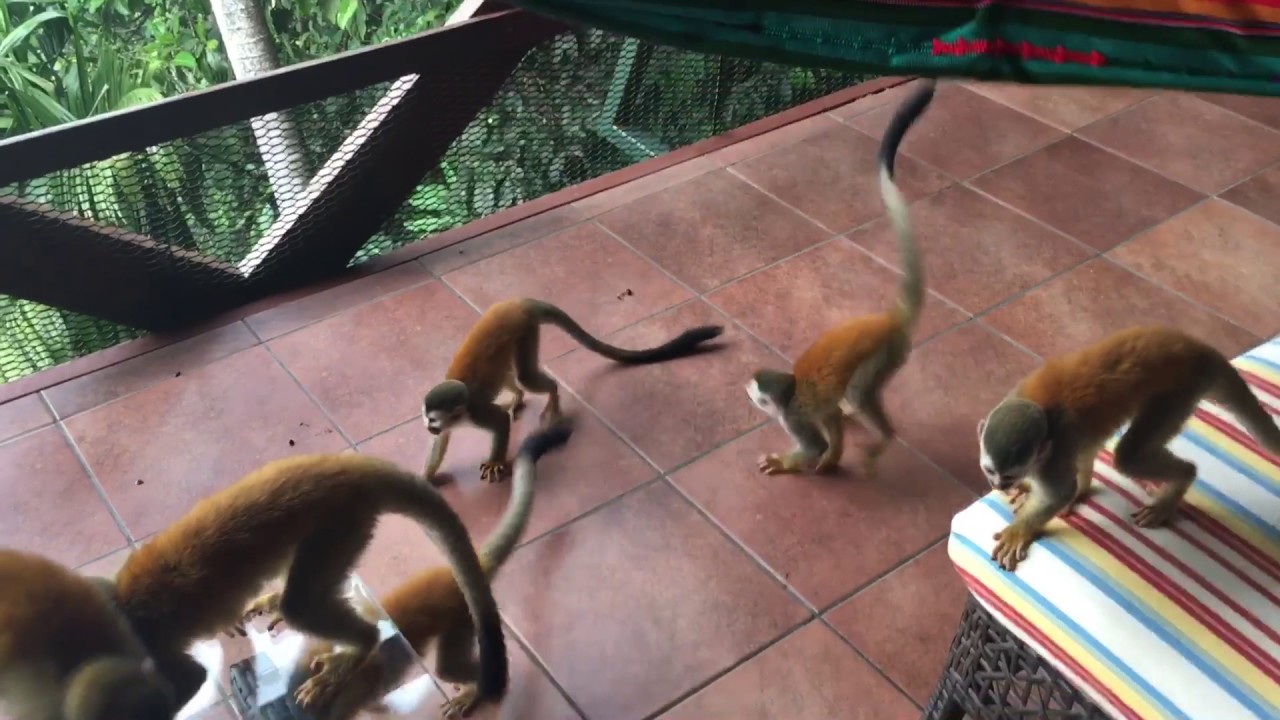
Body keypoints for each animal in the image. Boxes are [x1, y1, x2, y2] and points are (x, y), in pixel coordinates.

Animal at [422, 297, 723, 484]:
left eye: (433, 420)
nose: (428, 428)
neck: (460, 415)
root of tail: (519, 302)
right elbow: (443, 441)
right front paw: (426, 476)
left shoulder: (476, 411)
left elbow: (498, 422)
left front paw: (495, 461)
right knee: (511, 373)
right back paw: (517, 396)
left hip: (525, 331)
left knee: (526, 376)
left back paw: (551, 396)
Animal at [745, 78, 936, 478]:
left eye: (755, 394)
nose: (743, 389)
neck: (789, 392)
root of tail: (888, 319)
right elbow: (830, 415)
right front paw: (832, 458)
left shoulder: (793, 416)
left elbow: (812, 443)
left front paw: (785, 462)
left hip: (884, 356)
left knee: (859, 393)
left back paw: (884, 437)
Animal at [978, 325, 1280, 571]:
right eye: (990, 471)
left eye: (1009, 475)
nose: (998, 486)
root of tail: (1196, 347)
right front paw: (1037, 491)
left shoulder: (1053, 456)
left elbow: (1058, 493)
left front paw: (1019, 532)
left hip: (1179, 391)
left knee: (1129, 456)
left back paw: (1181, 479)